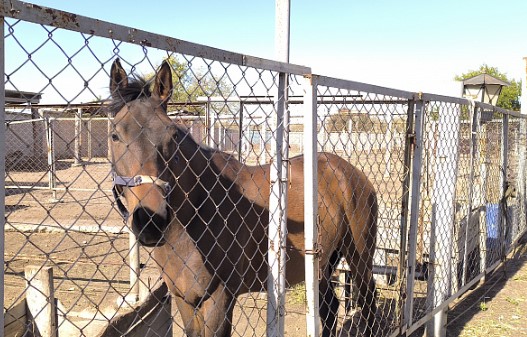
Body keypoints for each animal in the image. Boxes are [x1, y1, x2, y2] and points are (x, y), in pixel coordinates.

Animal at [109, 59, 378, 334]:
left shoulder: (219, 299)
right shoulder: (185, 299)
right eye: (115, 135)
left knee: (368, 302)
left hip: (359, 257)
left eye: (172, 135)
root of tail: (350, 173)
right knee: (330, 308)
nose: (150, 221)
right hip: (321, 264)